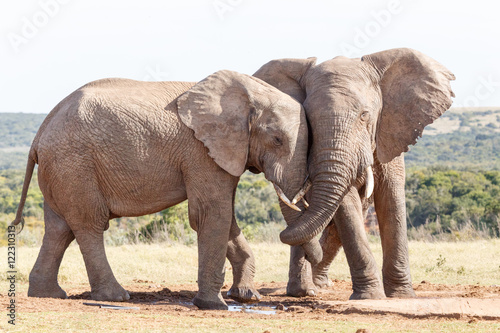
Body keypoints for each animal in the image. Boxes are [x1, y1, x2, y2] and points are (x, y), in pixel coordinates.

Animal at [11, 68, 312, 310]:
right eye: (277, 139)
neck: (247, 94)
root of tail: (39, 133)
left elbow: (225, 218)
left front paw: (246, 297)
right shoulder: (201, 151)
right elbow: (210, 215)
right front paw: (214, 306)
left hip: (61, 169)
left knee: (59, 229)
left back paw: (48, 294)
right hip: (74, 165)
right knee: (89, 224)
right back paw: (116, 297)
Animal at [256, 47, 456, 298]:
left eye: (364, 115)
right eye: (308, 120)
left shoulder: (389, 131)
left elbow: (391, 198)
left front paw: (401, 295)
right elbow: (346, 205)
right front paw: (371, 297)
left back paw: (318, 285)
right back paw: (305, 291)